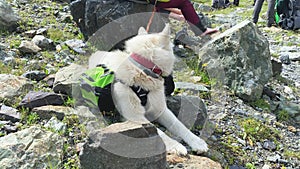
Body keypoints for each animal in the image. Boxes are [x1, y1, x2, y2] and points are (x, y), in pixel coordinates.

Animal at [88, 24, 207, 156]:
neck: (143, 71)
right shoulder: (135, 117)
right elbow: (160, 133)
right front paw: (175, 145)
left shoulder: (160, 109)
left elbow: (179, 125)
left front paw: (197, 142)